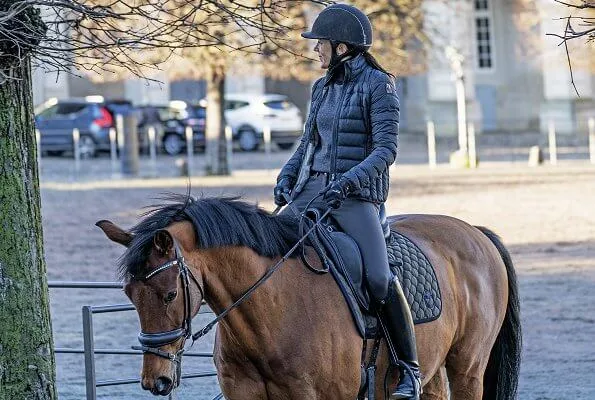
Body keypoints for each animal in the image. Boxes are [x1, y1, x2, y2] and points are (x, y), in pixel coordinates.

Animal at [96, 193, 520, 396]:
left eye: (169, 295)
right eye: (130, 294)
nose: (156, 381)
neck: (271, 311)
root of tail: (476, 232)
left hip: (467, 368)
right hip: (432, 366)